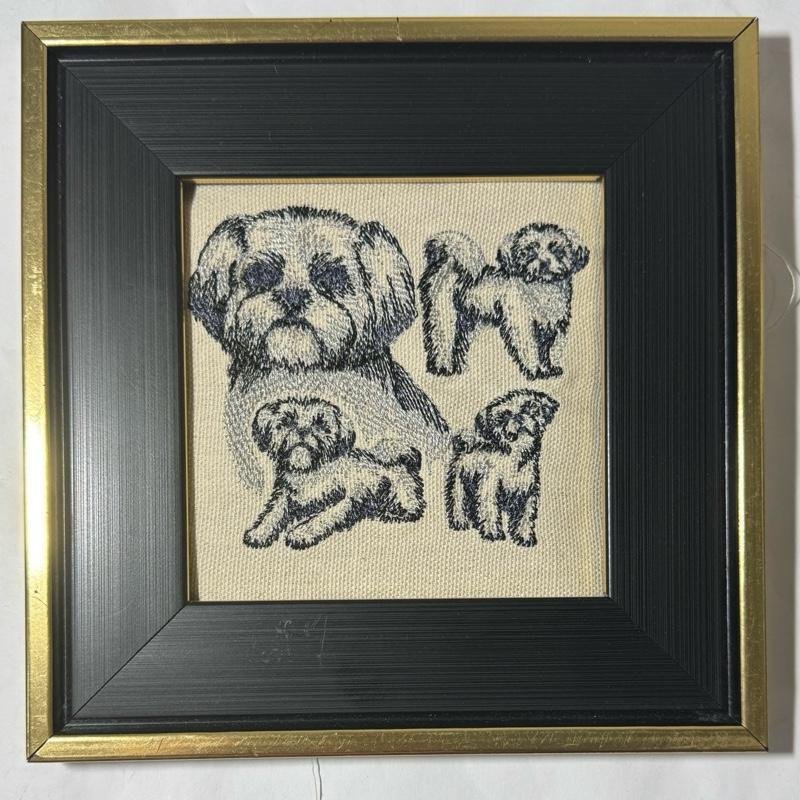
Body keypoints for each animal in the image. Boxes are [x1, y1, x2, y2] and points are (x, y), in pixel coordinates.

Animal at [244, 397, 425, 550]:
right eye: (287, 421)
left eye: (320, 425)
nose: (302, 431)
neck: (309, 472)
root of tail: (401, 458)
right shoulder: (285, 495)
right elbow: (272, 513)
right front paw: (259, 531)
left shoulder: (347, 498)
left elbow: (321, 517)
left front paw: (301, 532)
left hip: (402, 492)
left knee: (411, 505)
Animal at [420, 222, 590, 380]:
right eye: (530, 251)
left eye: (556, 250)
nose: (544, 262)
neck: (542, 289)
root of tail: (451, 263)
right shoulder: (522, 324)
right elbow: (531, 349)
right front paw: (535, 371)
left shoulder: (554, 326)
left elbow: (552, 350)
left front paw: (550, 369)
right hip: (444, 317)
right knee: (441, 343)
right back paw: (443, 368)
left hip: (466, 323)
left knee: (457, 344)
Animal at [445, 389, 558, 546]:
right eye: (503, 416)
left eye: (527, 408)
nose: (518, 418)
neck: (513, 459)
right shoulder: (489, 487)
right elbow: (490, 510)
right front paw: (493, 533)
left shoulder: (527, 491)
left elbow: (526, 516)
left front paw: (524, 537)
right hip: (459, 484)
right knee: (458, 503)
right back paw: (460, 522)